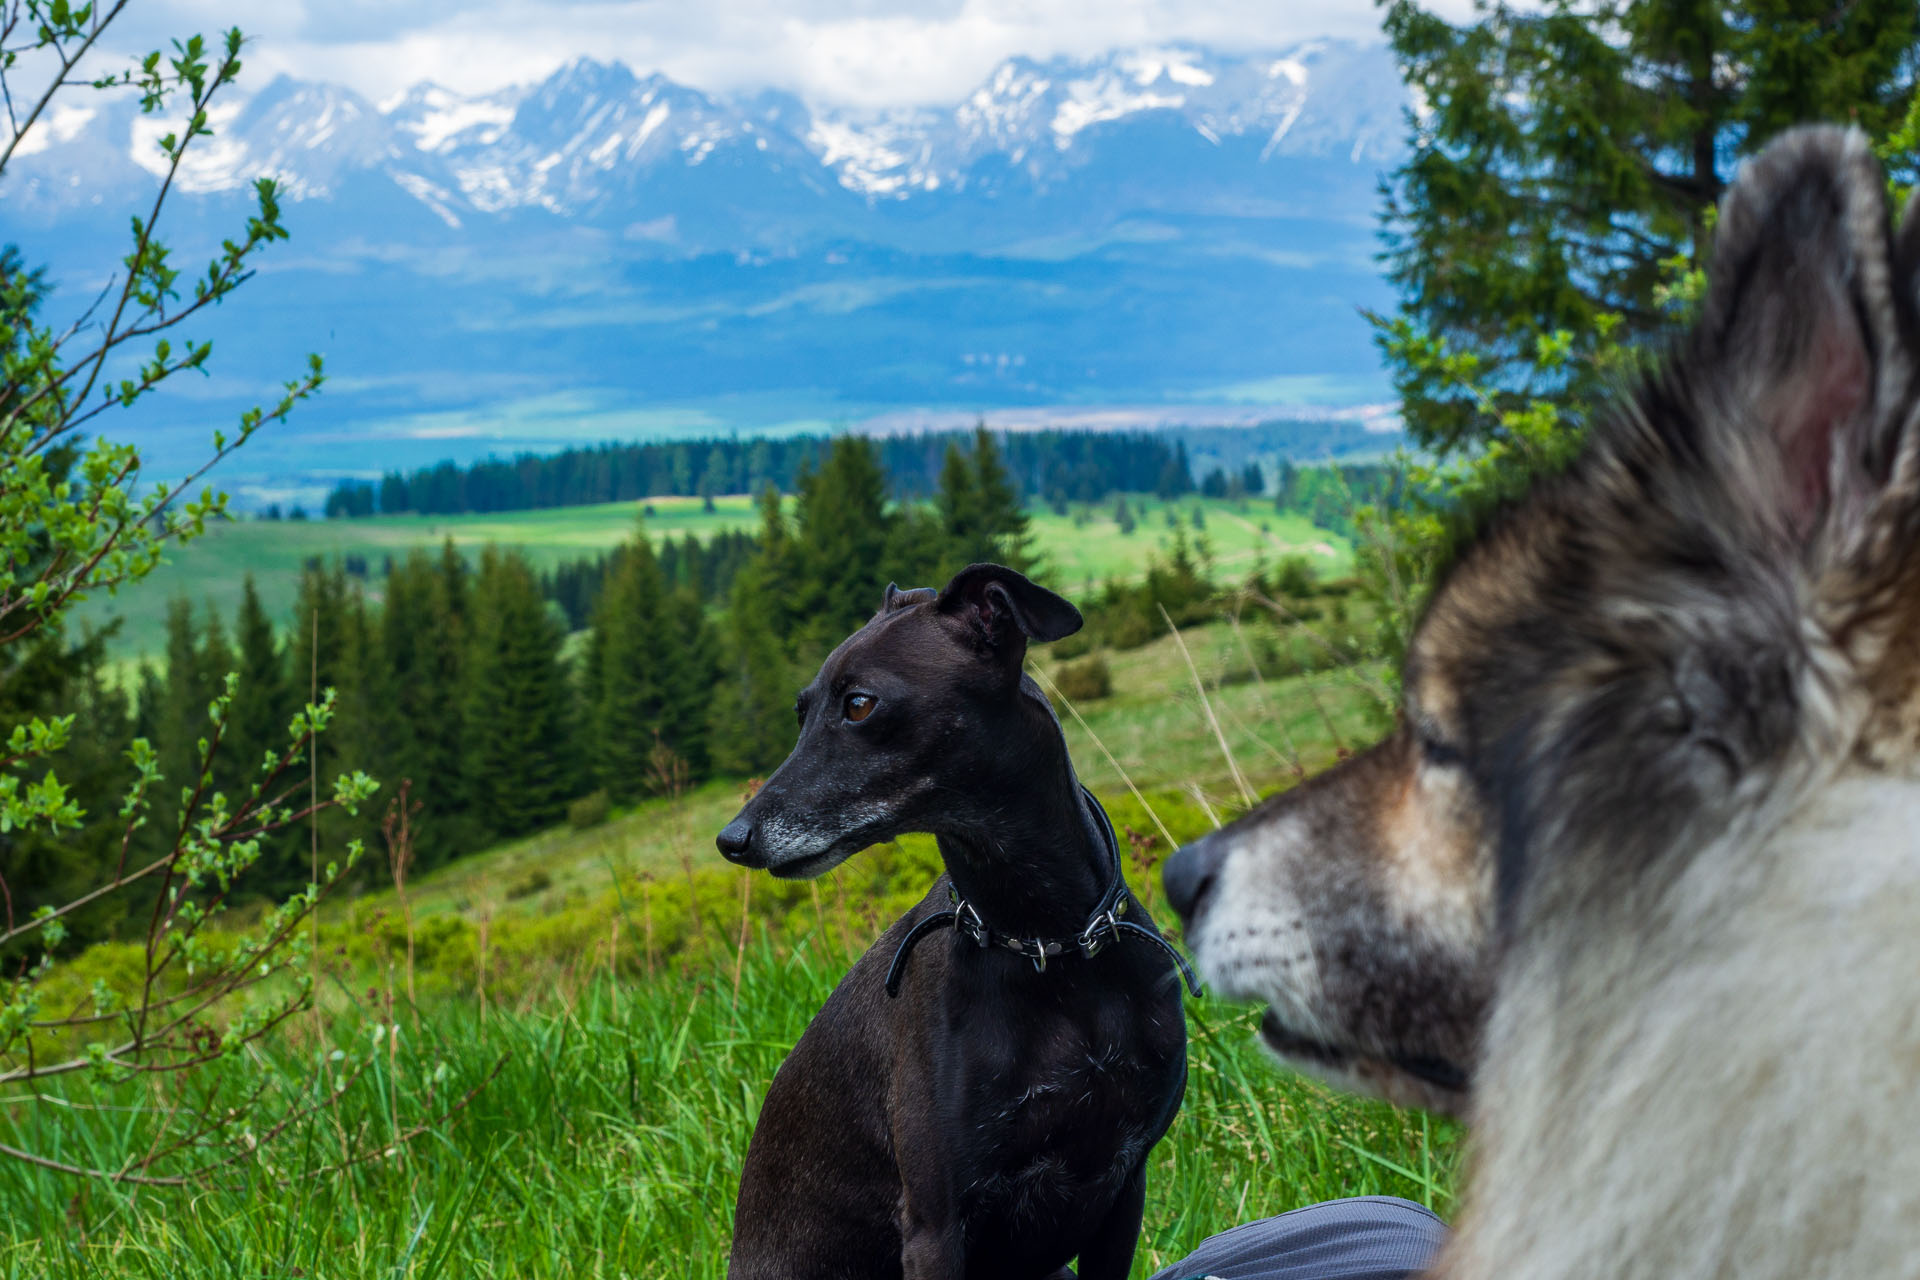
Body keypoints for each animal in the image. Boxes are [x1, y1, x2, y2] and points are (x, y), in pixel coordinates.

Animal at [721, 564, 1190, 1274]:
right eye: (803, 712)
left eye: (859, 704)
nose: (733, 840)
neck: (1044, 943)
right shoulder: (937, 1223)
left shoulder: (1123, 1187)